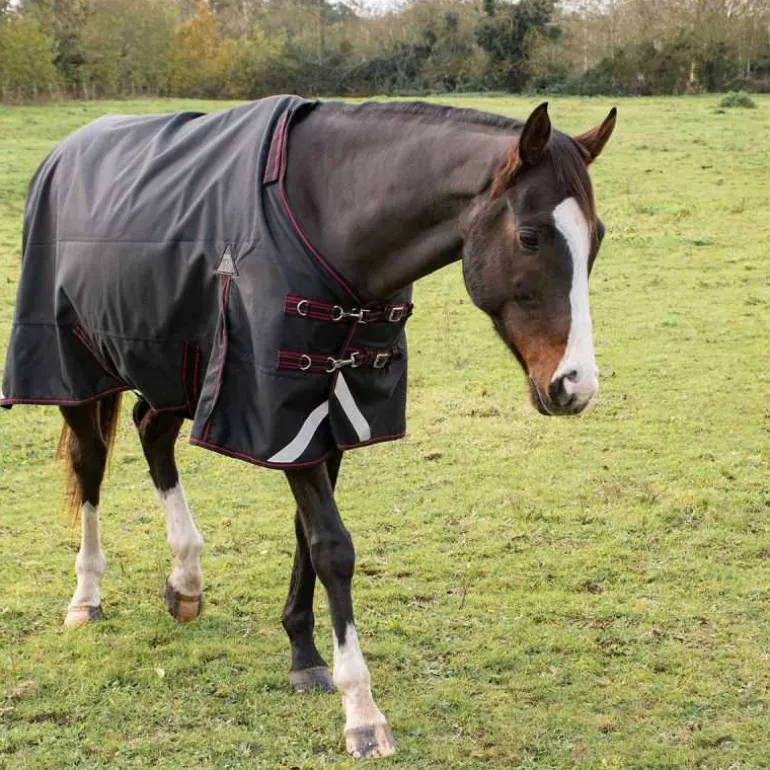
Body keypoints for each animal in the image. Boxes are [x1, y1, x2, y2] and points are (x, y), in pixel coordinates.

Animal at [1, 97, 616, 758]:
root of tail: (64, 153)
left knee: (152, 433)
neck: (333, 223)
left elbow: (306, 536)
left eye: (597, 237)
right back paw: (86, 596)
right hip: (76, 364)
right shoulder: (281, 412)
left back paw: (185, 579)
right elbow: (332, 548)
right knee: (90, 462)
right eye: (529, 237)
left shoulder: (332, 413)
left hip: (171, 362)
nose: (575, 385)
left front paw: (302, 652)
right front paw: (361, 710)